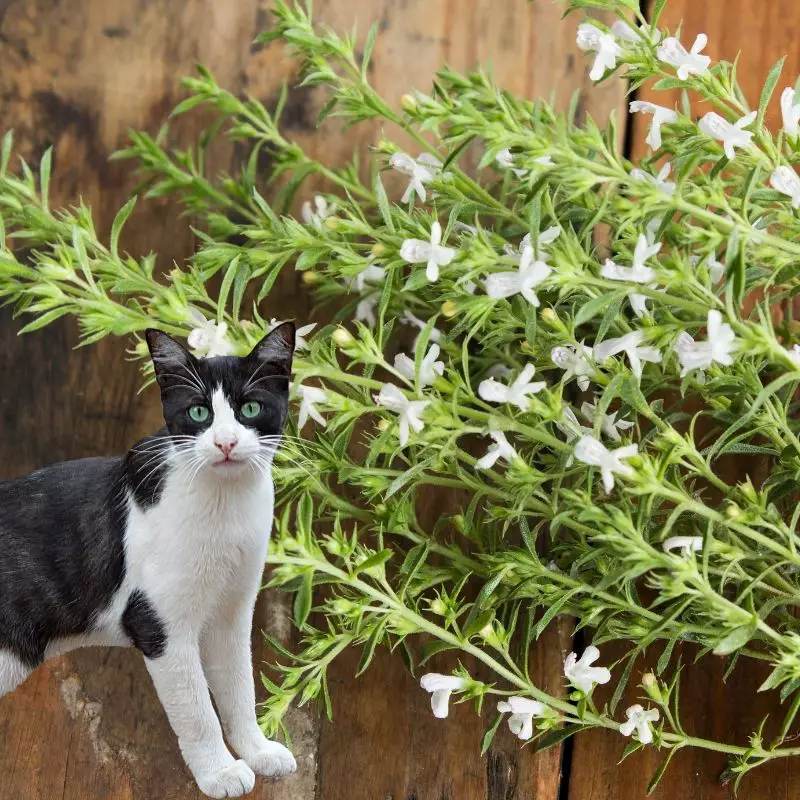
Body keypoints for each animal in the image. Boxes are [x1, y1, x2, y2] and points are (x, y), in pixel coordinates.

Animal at [0, 322, 296, 796]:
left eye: (251, 407)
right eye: (199, 413)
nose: (226, 442)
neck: (223, 506)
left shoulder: (231, 615)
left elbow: (239, 688)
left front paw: (258, 750)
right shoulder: (159, 625)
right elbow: (197, 709)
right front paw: (220, 772)